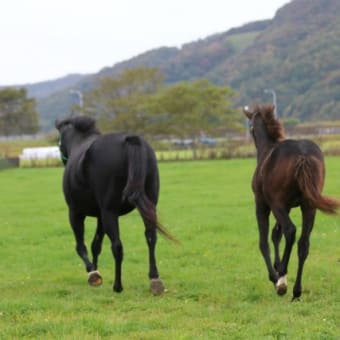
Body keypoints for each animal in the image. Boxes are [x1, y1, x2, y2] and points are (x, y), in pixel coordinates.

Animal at [55, 115, 175, 294]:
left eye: (59, 142)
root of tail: (130, 140)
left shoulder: (76, 212)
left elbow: (81, 246)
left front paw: (93, 272)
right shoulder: (100, 216)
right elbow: (96, 245)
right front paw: (95, 270)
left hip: (109, 212)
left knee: (117, 246)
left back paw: (118, 285)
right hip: (148, 206)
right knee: (150, 237)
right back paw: (154, 279)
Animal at [243, 103, 338, 300]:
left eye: (250, 127)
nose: (250, 133)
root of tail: (303, 155)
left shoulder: (263, 204)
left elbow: (264, 241)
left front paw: (275, 276)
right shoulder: (286, 207)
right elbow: (275, 235)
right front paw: (278, 269)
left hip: (278, 204)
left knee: (291, 231)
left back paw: (282, 280)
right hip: (309, 206)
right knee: (303, 243)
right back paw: (296, 291)